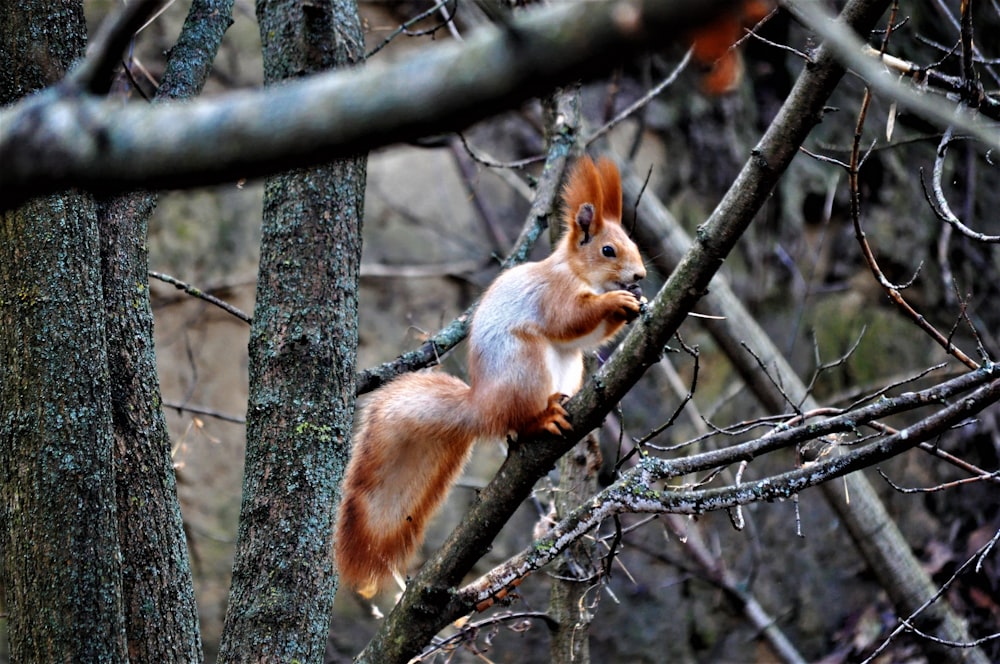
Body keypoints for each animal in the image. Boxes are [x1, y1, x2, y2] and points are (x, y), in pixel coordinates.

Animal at [336, 156, 648, 596]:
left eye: (634, 246)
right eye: (608, 250)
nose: (639, 276)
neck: (574, 271)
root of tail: (482, 406)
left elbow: (586, 335)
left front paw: (632, 305)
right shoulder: (552, 295)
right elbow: (569, 318)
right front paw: (615, 302)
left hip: (567, 368)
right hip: (525, 364)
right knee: (519, 417)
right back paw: (543, 417)